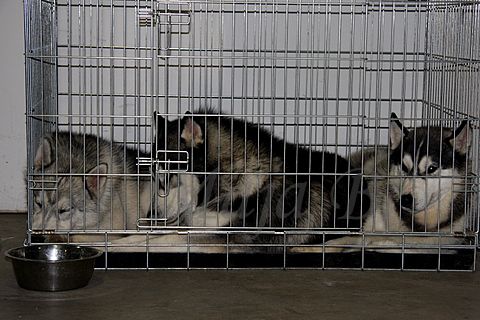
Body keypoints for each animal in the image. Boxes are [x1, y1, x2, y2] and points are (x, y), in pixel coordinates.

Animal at [318, 113, 472, 252]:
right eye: (404, 167)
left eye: (431, 168)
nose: (406, 199)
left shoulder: (441, 246)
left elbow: (401, 247)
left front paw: (380, 244)